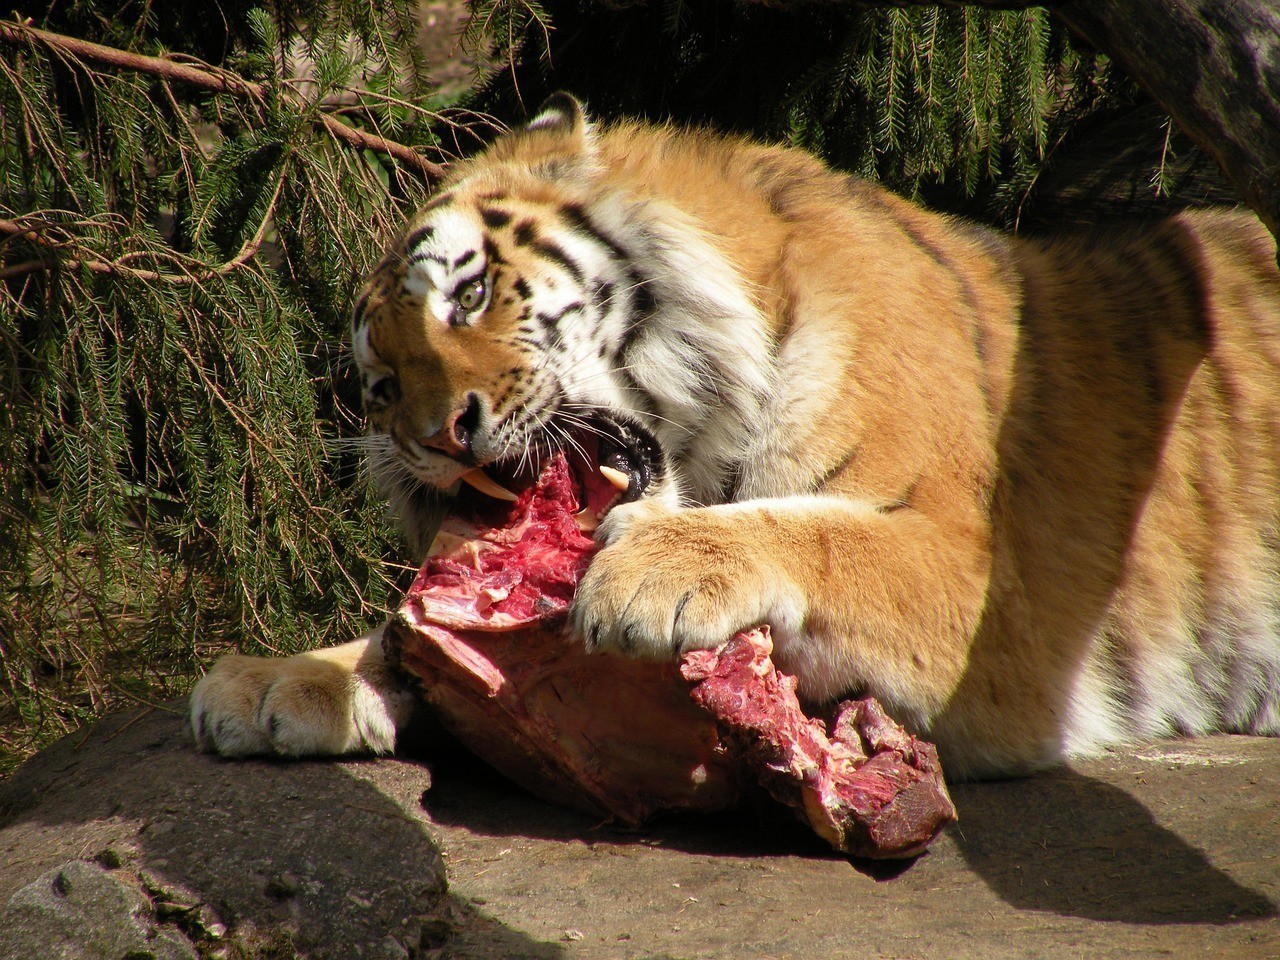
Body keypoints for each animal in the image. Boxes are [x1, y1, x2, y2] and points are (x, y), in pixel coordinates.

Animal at [190, 92, 1280, 780]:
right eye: (380, 385)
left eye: (468, 295)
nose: (441, 435)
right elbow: (400, 632)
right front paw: (282, 678)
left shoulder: (989, 589)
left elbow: (823, 533)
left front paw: (655, 572)